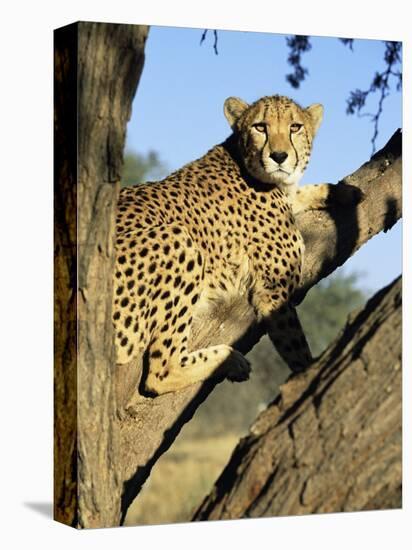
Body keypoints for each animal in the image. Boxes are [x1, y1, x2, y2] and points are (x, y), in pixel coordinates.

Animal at [114, 95, 356, 396]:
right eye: (260, 127)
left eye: (295, 127)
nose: (279, 156)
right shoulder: (272, 293)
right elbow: (296, 347)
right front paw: (309, 378)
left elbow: (302, 193)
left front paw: (344, 191)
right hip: (178, 239)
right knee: (160, 372)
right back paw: (229, 359)